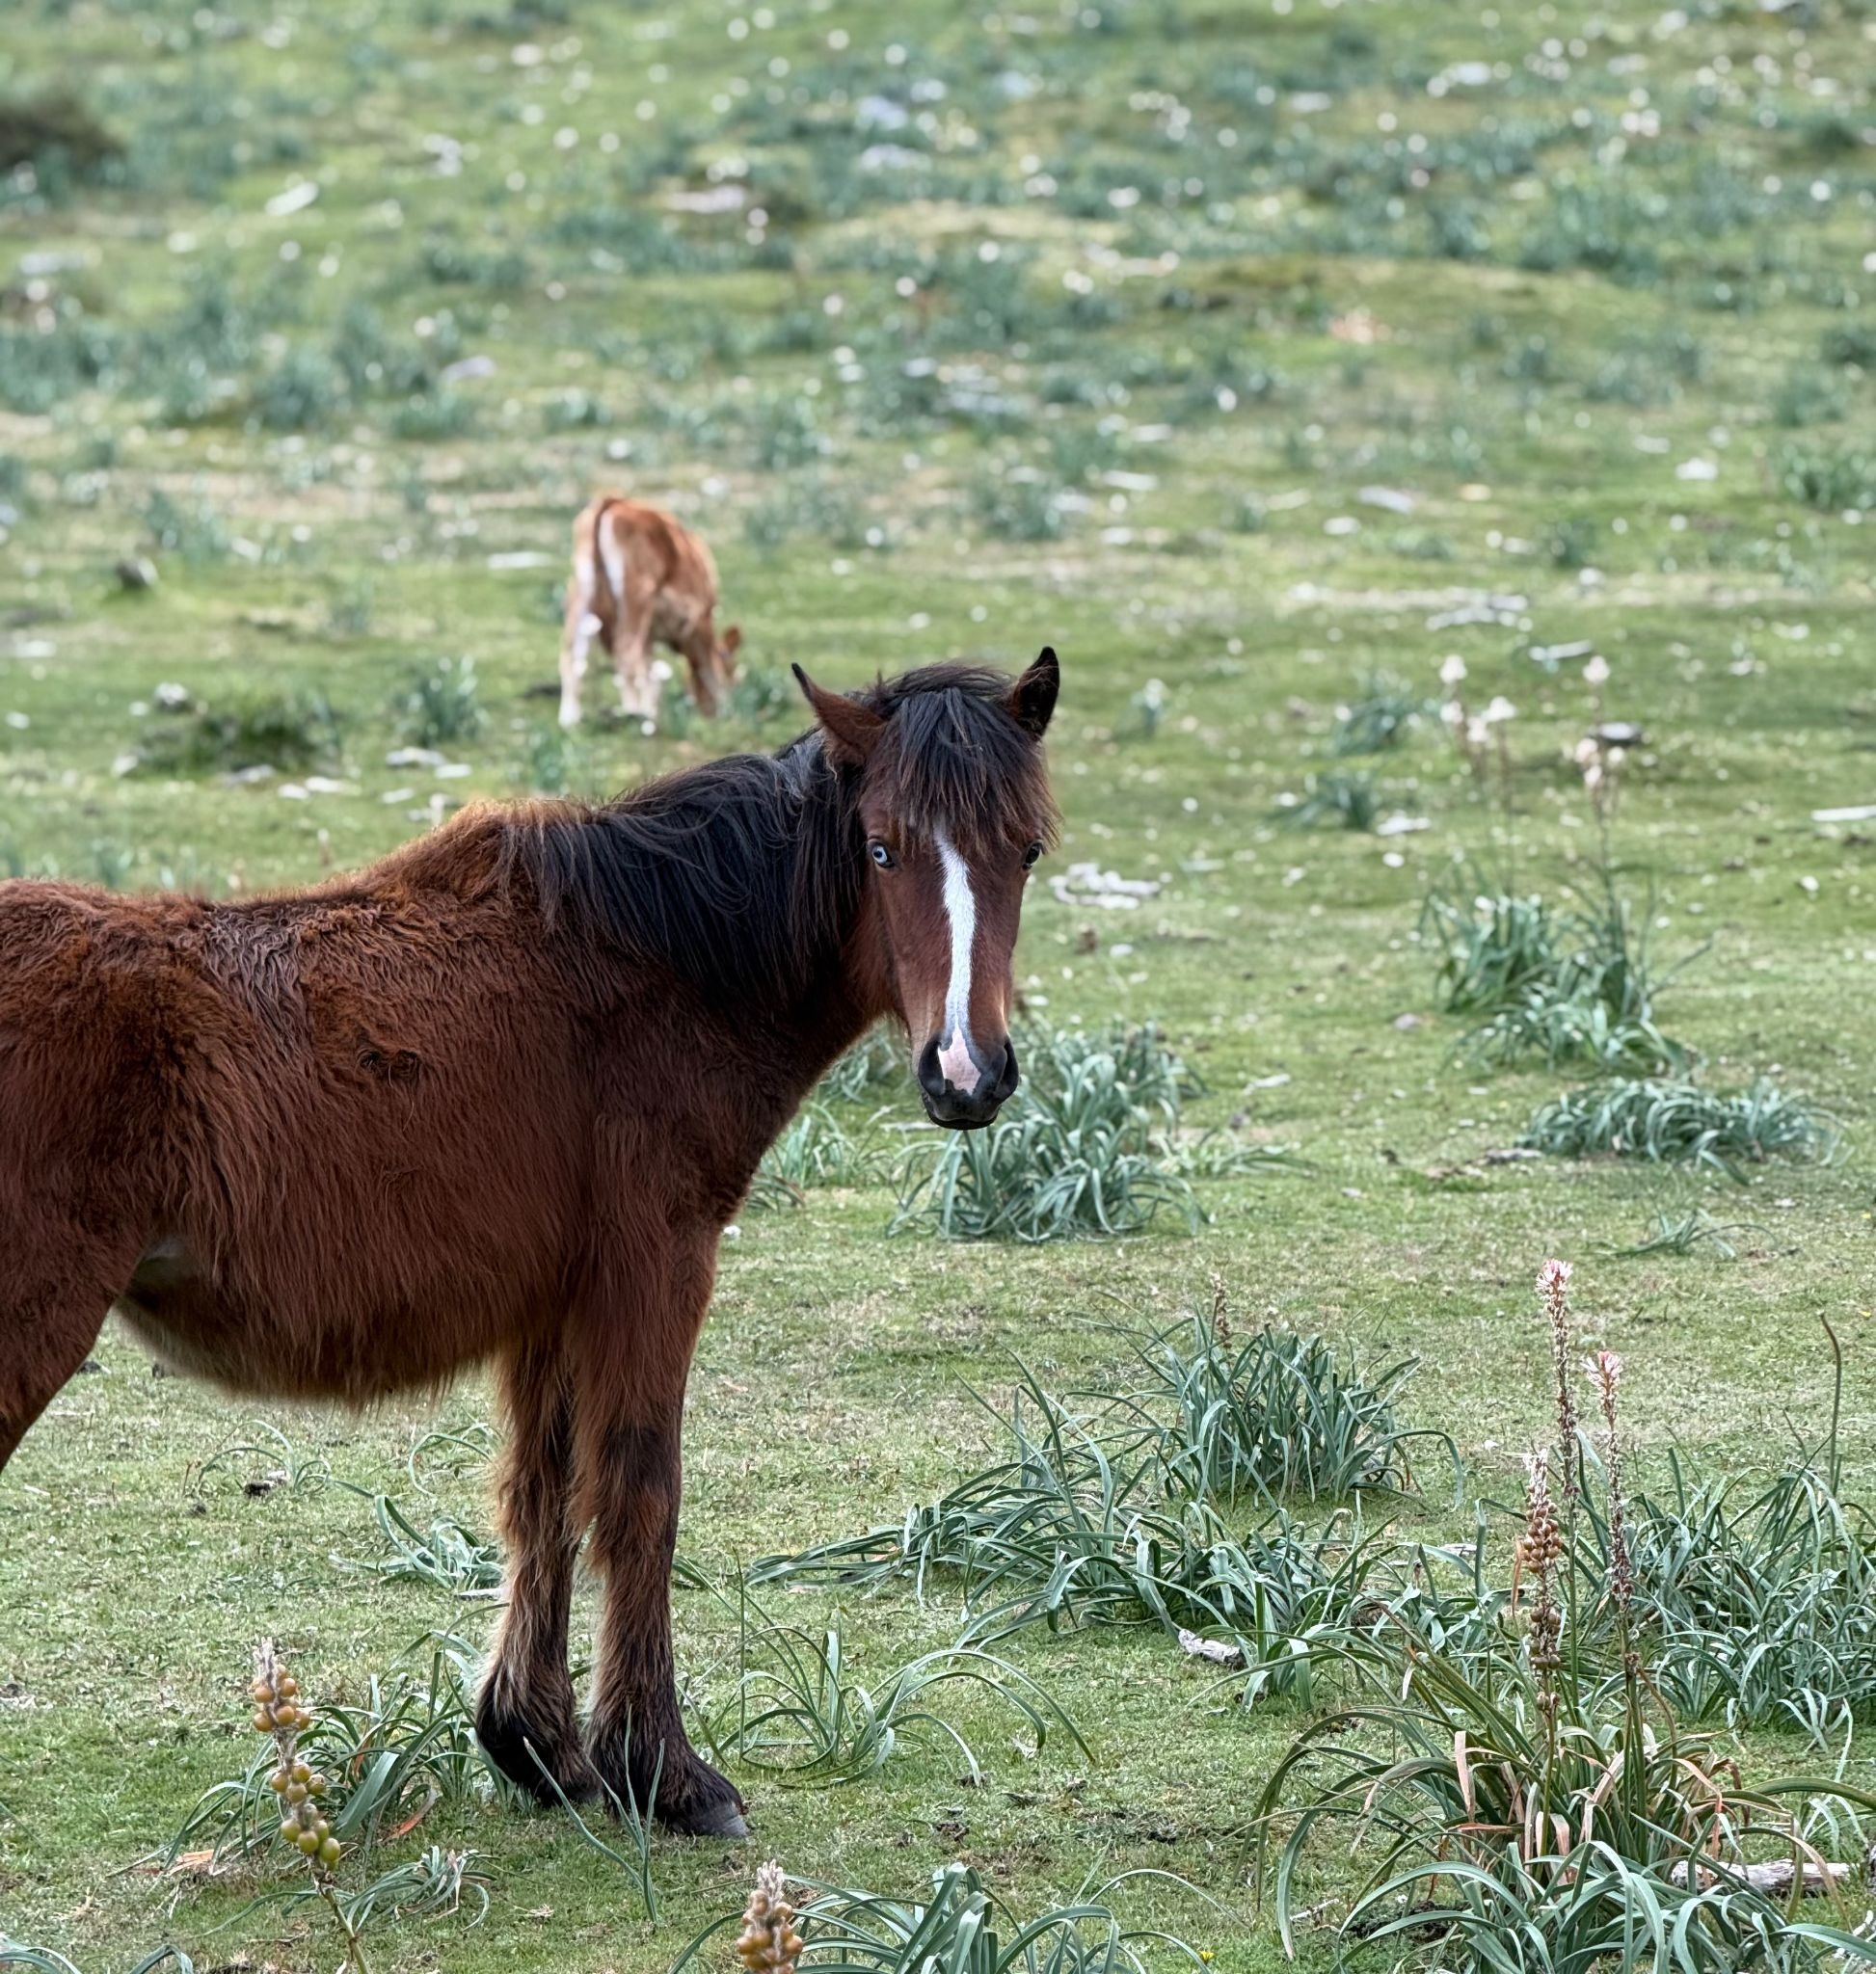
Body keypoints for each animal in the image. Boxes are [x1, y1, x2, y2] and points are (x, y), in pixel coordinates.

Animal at [0, 651, 1060, 1837]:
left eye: (1024, 849)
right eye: (881, 847)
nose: (965, 1072)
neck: (651, 967)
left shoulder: (555, 1298)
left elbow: (542, 1494)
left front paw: (537, 1744)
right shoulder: (655, 1271)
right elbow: (640, 1490)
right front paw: (663, 1771)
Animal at [558, 494, 742, 731]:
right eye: (733, 675)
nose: (712, 714)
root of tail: (613, 500)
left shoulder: (650, 633)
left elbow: (648, 669)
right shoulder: (698, 618)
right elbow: (704, 669)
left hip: (581, 592)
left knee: (572, 652)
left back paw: (569, 719)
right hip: (636, 593)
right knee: (624, 651)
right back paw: (636, 714)